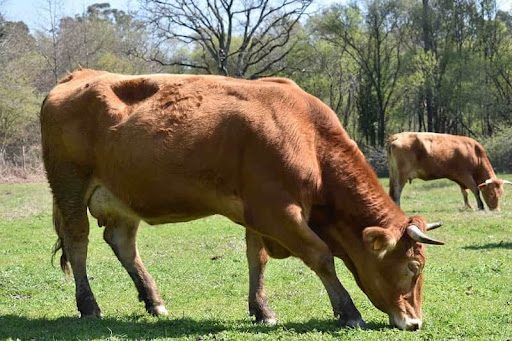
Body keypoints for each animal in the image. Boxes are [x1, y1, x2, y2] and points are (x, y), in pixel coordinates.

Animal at [41, 68, 444, 330]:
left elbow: (258, 259)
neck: (306, 134)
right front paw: (348, 311)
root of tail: (78, 75)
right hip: (70, 188)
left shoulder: (258, 211)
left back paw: (154, 301)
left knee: (122, 243)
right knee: (78, 244)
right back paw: (89, 306)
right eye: (413, 268)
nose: (415, 322)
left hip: (122, 196)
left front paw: (262, 310)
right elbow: (320, 256)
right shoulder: (278, 211)